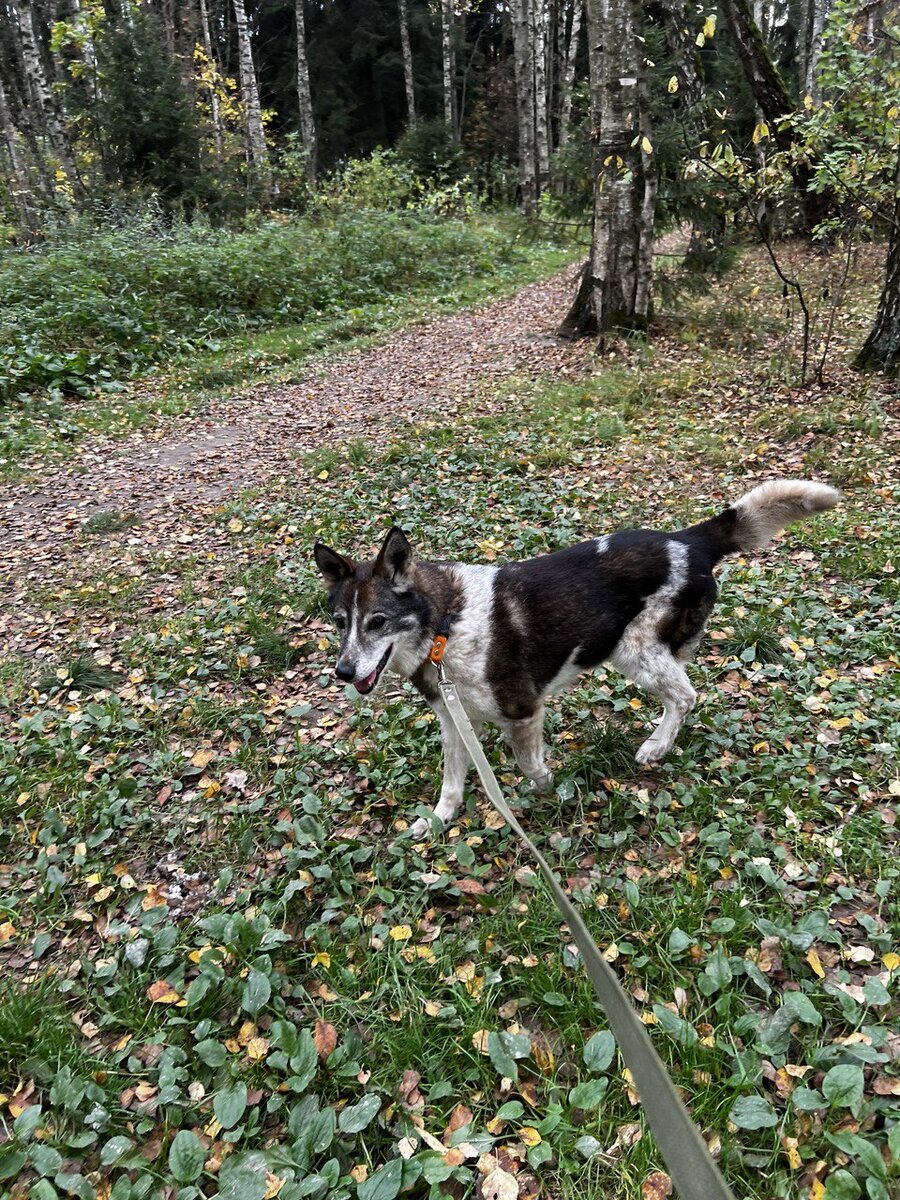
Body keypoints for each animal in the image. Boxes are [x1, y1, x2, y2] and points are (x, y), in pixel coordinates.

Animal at [314, 477, 844, 835]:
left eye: (378, 622)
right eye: (340, 623)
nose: (342, 671)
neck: (445, 625)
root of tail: (687, 539)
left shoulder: (523, 711)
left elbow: (530, 766)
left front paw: (549, 791)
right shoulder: (455, 721)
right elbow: (450, 783)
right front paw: (439, 821)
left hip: (633, 650)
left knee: (686, 695)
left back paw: (657, 745)